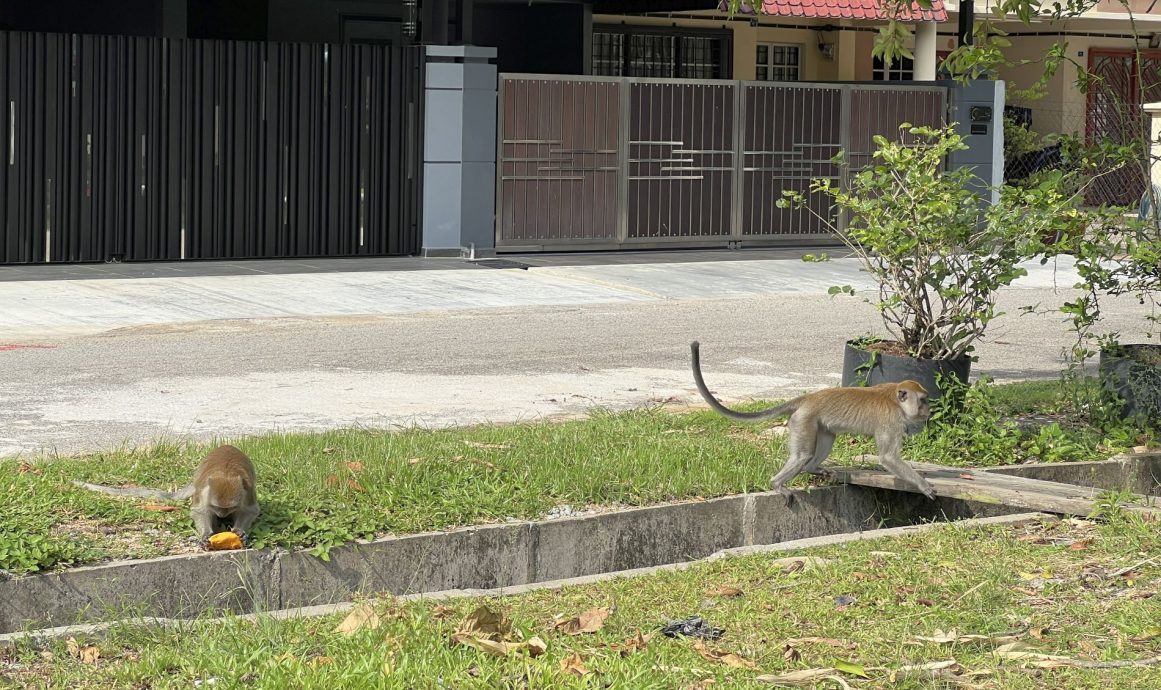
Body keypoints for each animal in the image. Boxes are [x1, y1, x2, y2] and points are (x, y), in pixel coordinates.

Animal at [74, 443, 261, 545]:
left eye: (229, 508)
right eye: (217, 507)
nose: (222, 515)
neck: (226, 474)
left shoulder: (247, 492)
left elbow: (250, 510)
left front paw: (240, 531)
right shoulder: (203, 493)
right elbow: (200, 511)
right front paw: (206, 534)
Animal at [691, 339, 938, 497]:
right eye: (923, 400)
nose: (928, 411)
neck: (895, 400)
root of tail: (808, 398)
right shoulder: (892, 422)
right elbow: (888, 458)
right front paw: (923, 485)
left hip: (818, 423)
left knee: (825, 440)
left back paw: (812, 469)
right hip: (803, 421)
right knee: (802, 455)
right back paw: (777, 483)